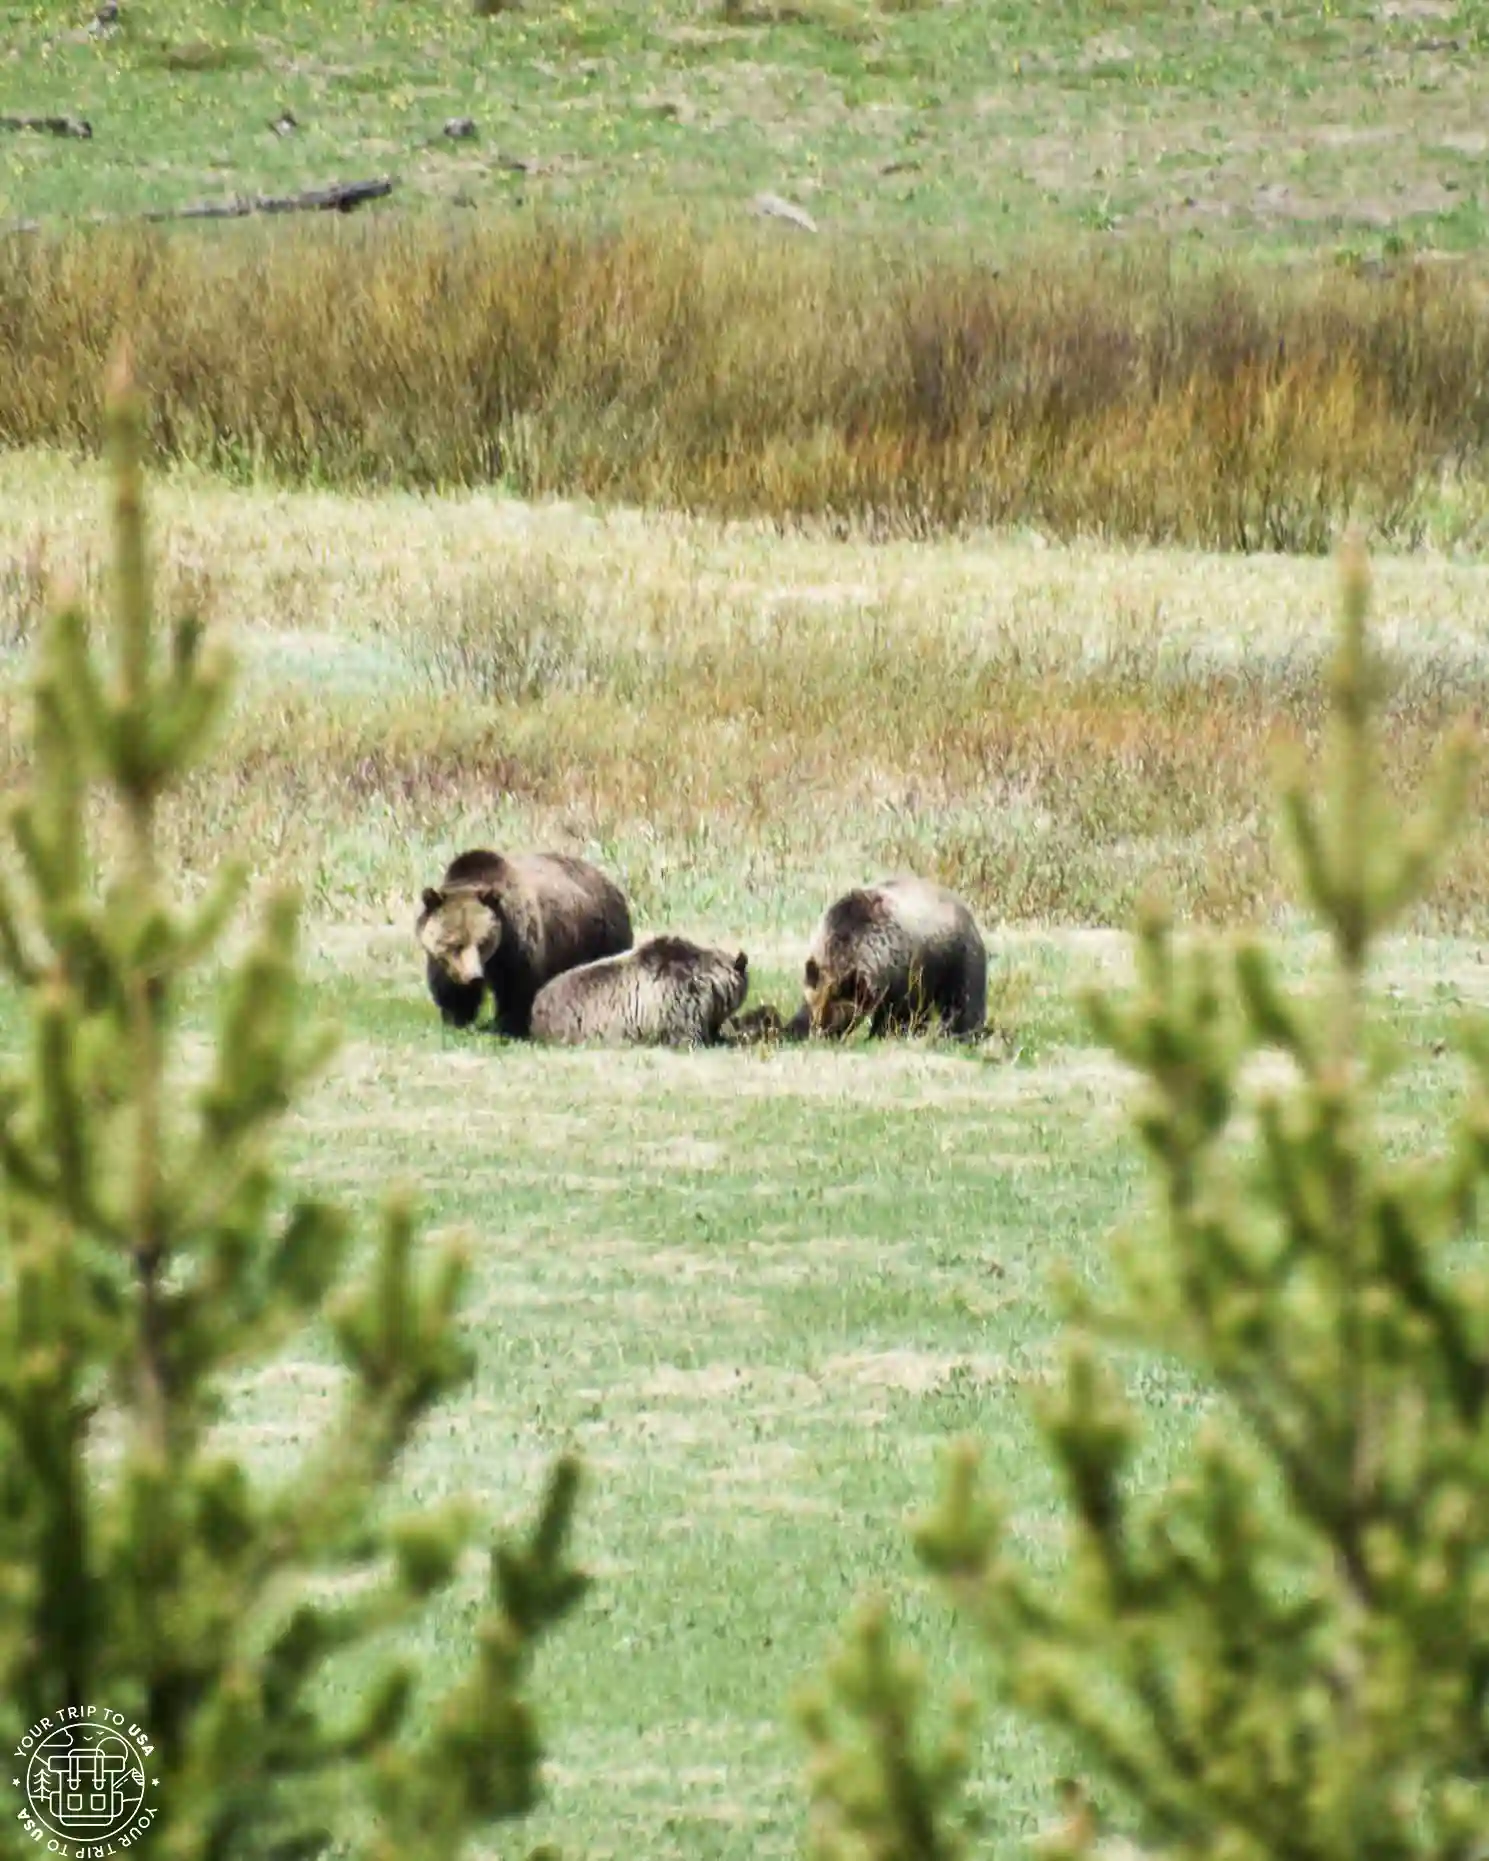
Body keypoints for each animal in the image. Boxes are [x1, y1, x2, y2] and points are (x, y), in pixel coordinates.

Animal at [416, 848, 634, 1038]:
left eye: (483, 942)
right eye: (455, 944)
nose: (475, 977)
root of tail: (608, 880)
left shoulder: (517, 943)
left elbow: (516, 989)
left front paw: (509, 1027)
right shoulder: (445, 961)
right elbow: (451, 989)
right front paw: (456, 1020)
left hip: (601, 935)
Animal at [787, 875, 987, 1040]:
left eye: (837, 1016)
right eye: (815, 1011)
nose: (821, 1034)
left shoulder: (904, 969)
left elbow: (899, 1012)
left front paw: (885, 1033)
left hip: (957, 956)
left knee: (963, 999)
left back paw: (960, 1033)